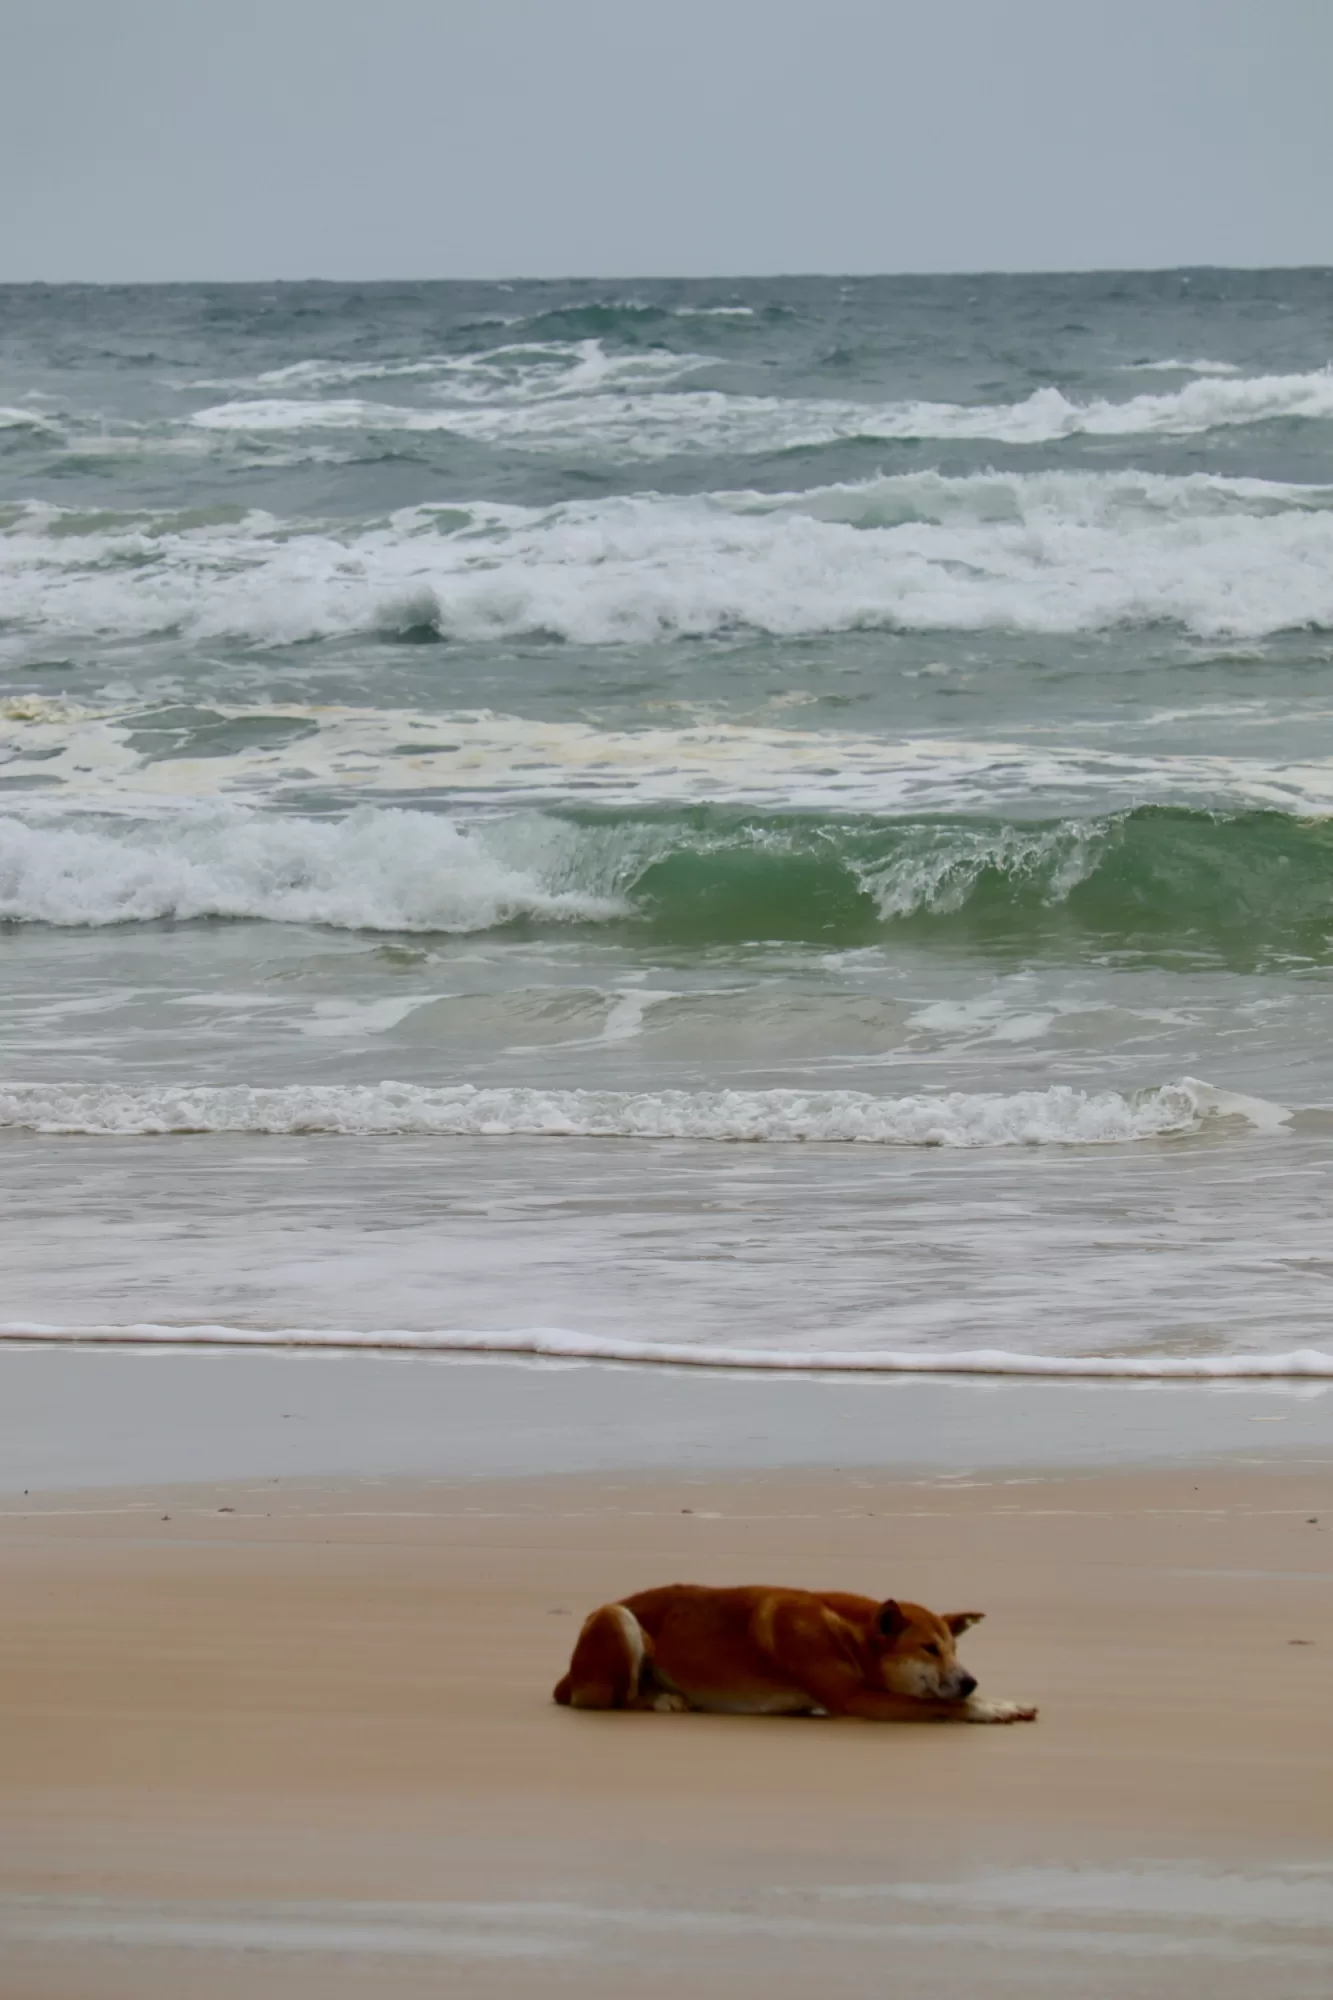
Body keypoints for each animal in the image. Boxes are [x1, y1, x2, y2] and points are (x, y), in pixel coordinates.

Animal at [548, 1584, 1040, 1728]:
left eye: (953, 1648)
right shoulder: (856, 1700)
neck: (847, 1634)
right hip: (617, 1619)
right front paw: (991, 1706)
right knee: (615, 1700)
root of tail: (565, 1675)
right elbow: (947, 1706)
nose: (970, 1680)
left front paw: (996, 1698)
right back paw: (663, 1700)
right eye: (929, 1649)